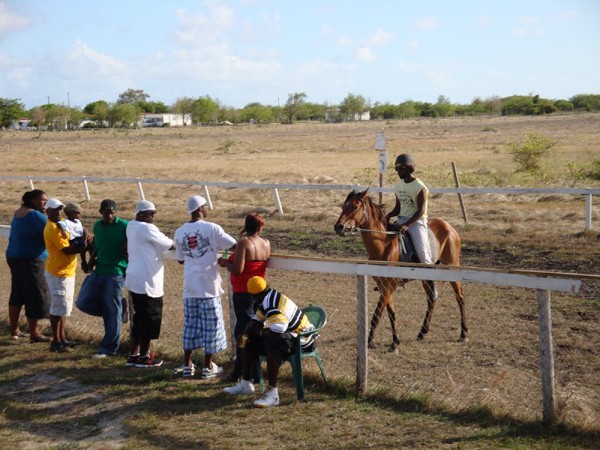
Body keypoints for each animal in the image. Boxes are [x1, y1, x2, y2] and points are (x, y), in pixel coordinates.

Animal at [332, 190, 468, 352]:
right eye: (343, 206)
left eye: (354, 207)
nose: (338, 227)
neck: (383, 245)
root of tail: (449, 227)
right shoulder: (384, 285)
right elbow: (391, 312)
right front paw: (395, 342)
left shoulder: (389, 286)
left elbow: (377, 314)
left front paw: (370, 342)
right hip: (426, 276)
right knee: (431, 299)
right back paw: (422, 333)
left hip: (452, 267)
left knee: (459, 298)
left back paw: (463, 333)